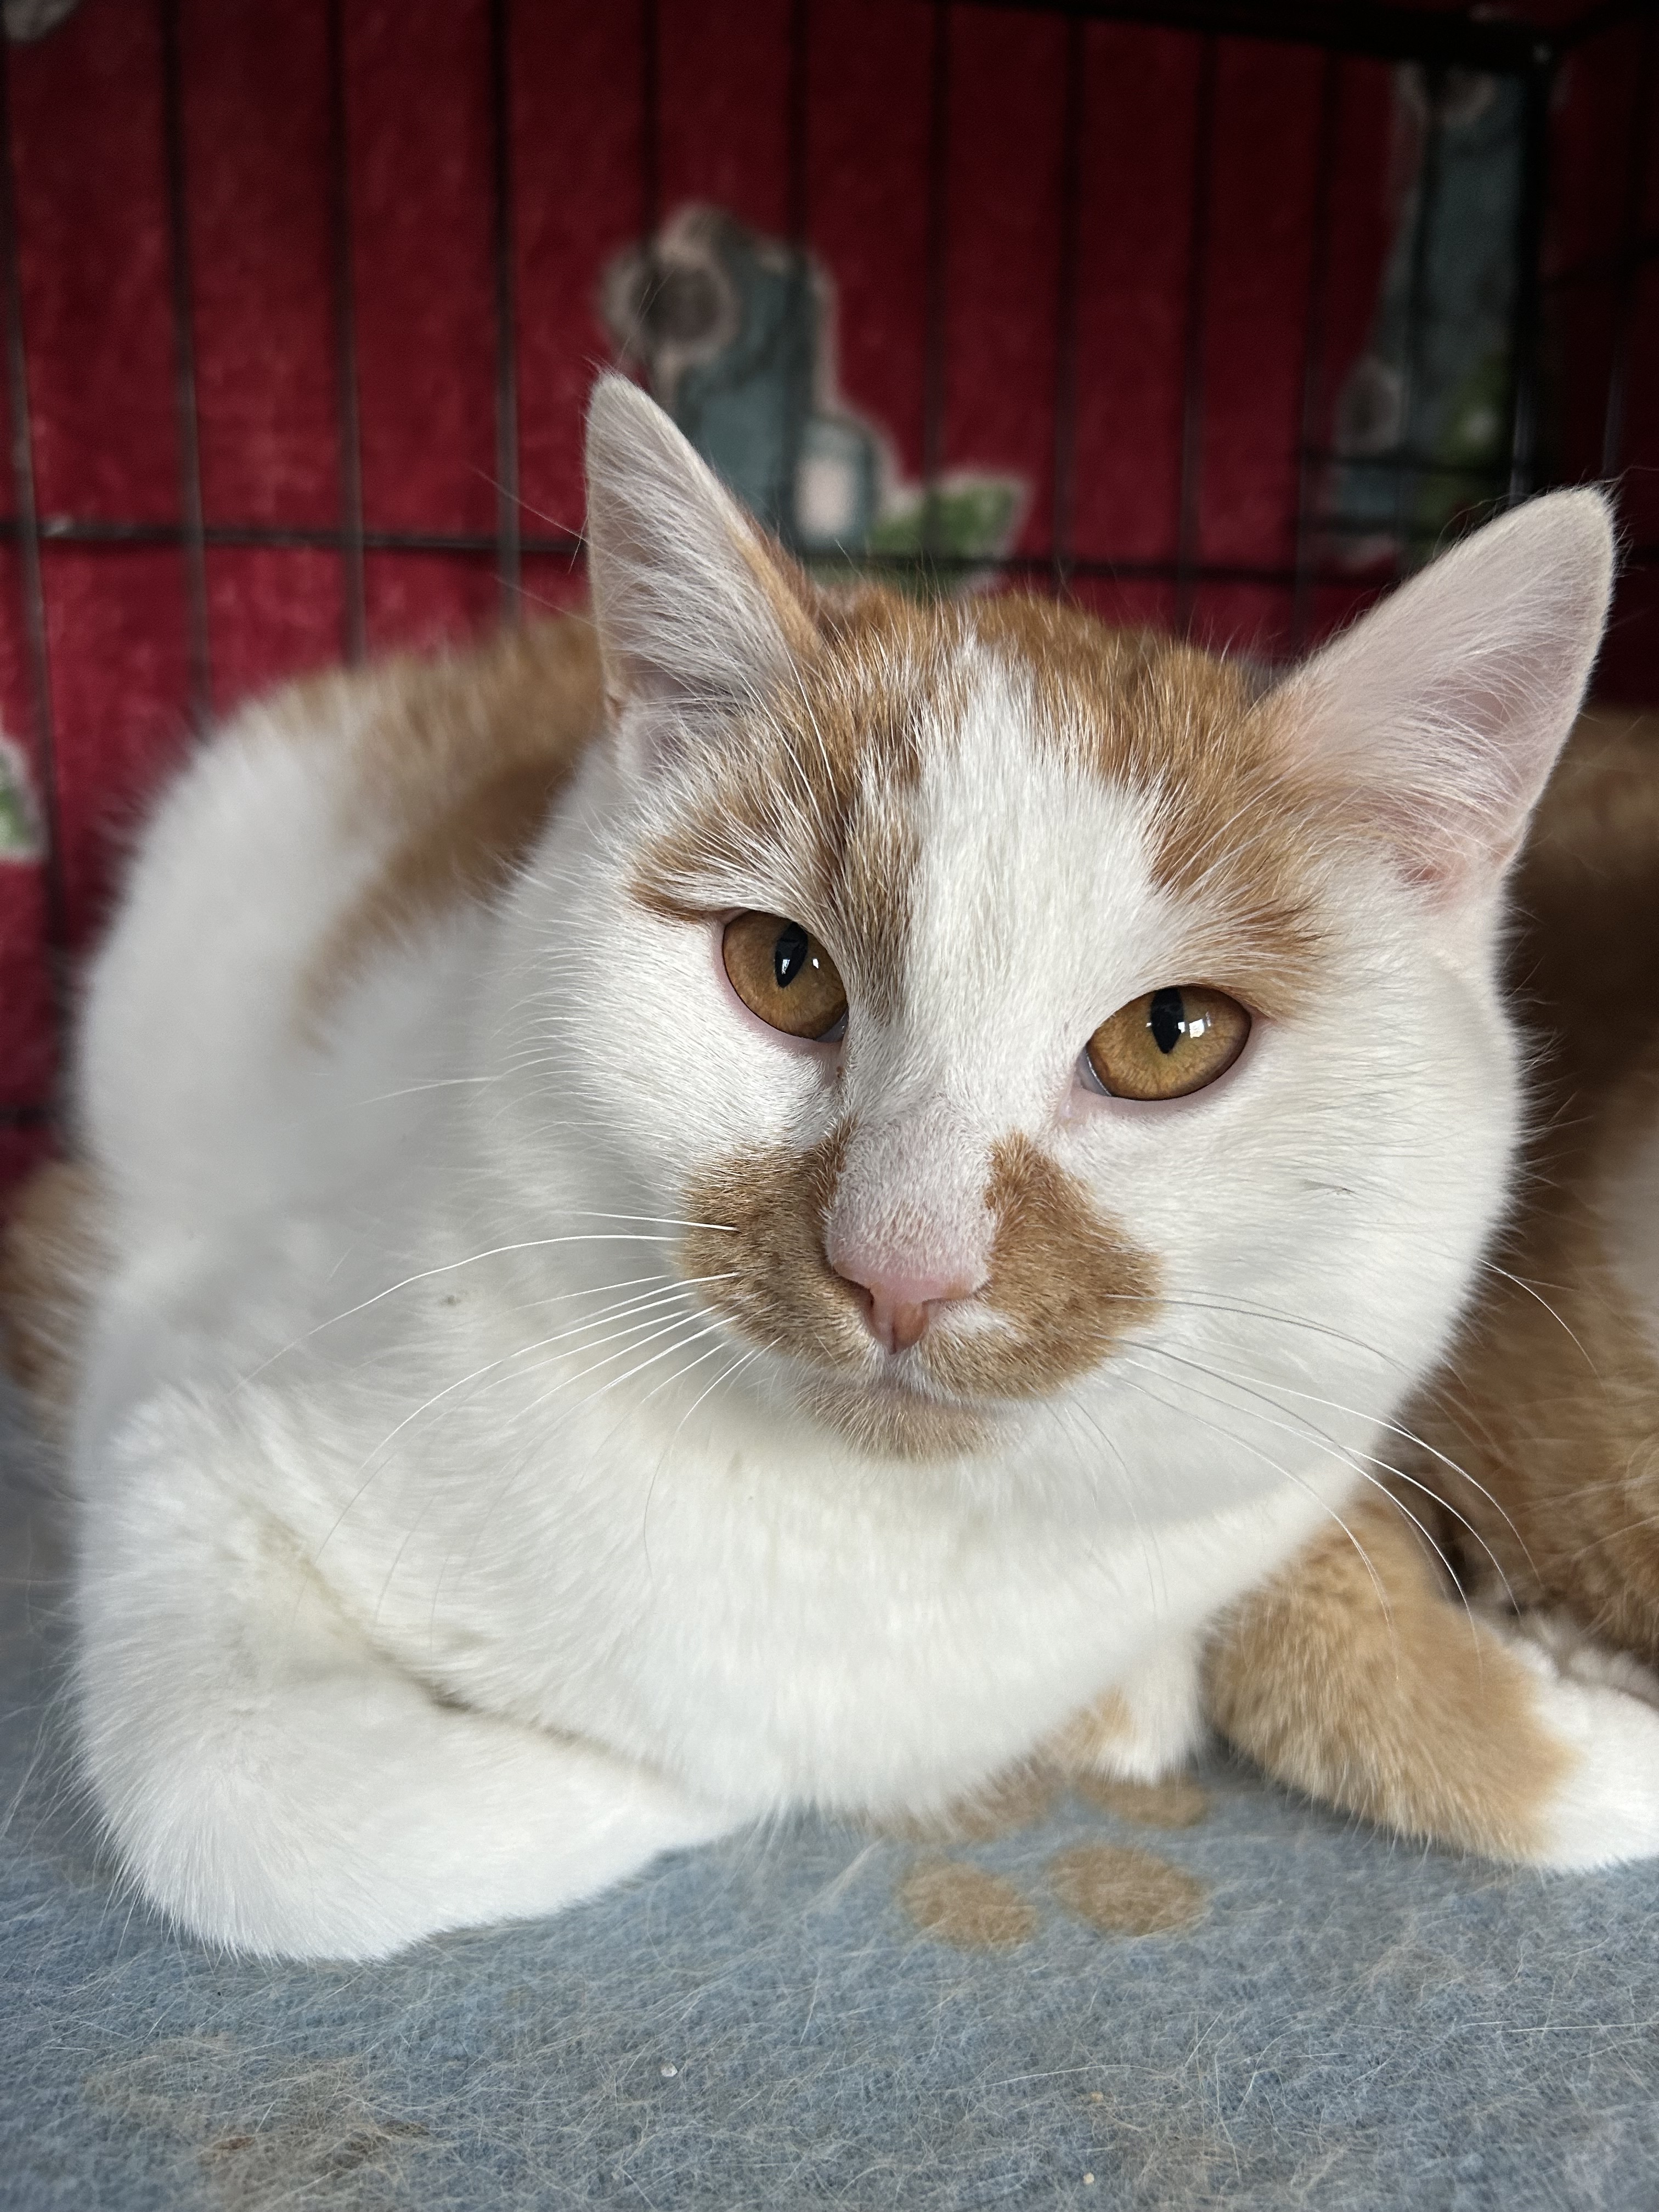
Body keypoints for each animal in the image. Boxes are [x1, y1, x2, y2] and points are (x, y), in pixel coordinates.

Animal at [3, 376, 1659, 1955]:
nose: (901, 1264)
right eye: (783, 969)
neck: (874, 1545)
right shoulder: (179, 1383)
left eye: (1172, 1036)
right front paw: (682, 1777)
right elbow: (246, 1813)